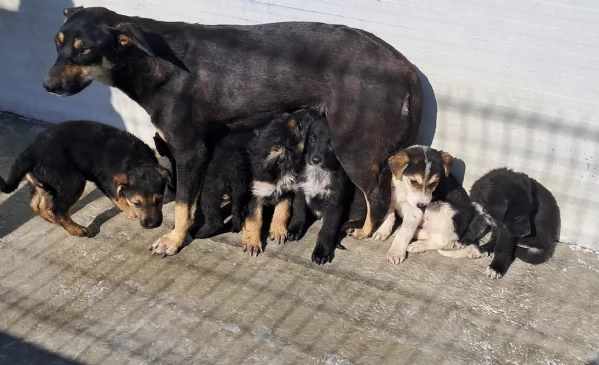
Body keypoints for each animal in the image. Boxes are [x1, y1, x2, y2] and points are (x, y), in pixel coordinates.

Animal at [0, 121, 171, 237]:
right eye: (137, 203)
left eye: (159, 200)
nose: (153, 225)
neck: (136, 162)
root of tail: (30, 152)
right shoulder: (106, 182)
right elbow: (120, 199)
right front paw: (131, 211)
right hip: (71, 181)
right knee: (57, 210)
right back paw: (77, 230)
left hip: (45, 182)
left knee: (37, 204)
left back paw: (52, 220)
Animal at [241, 109, 316, 255]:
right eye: (299, 126)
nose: (309, 109)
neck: (282, 166)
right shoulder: (255, 194)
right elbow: (255, 218)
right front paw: (253, 242)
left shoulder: (286, 190)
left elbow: (283, 210)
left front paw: (278, 230)